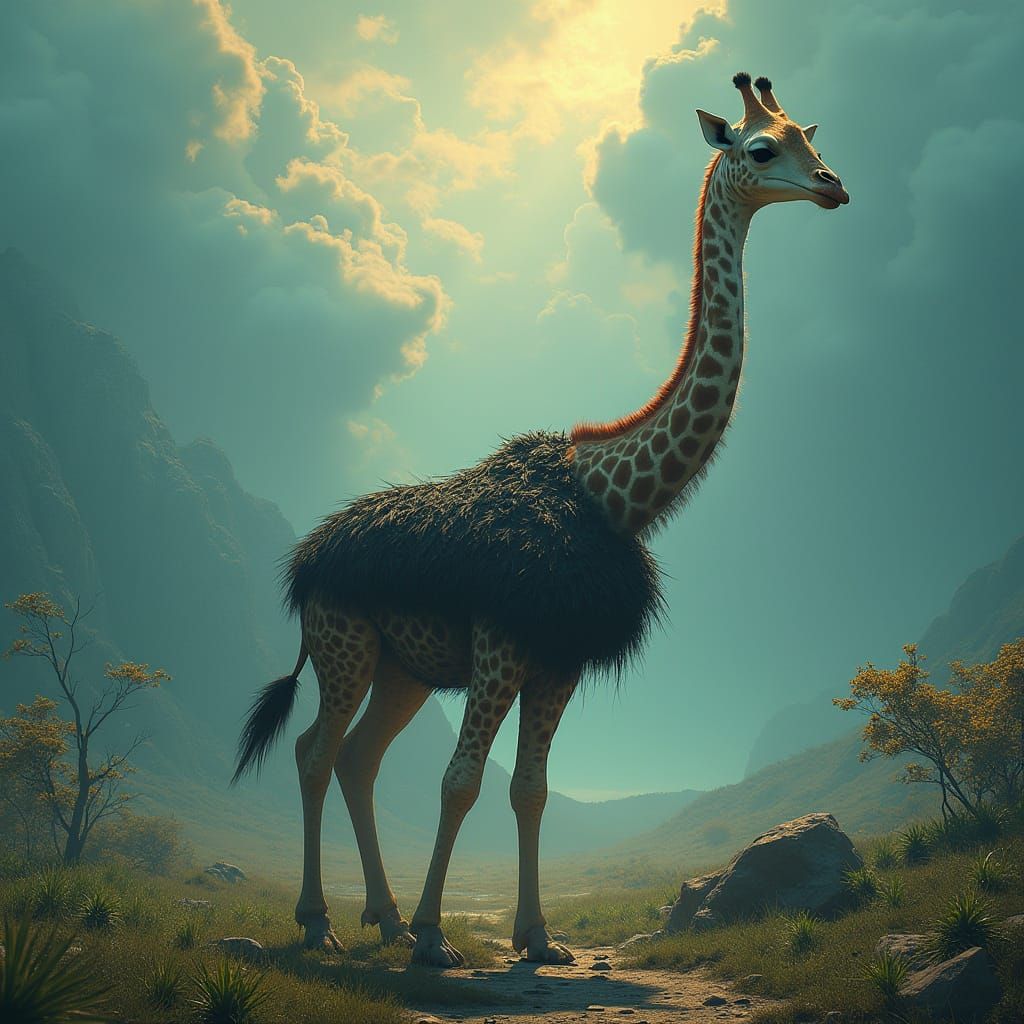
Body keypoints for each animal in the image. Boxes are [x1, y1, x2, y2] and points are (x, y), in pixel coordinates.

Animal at [232, 72, 848, 969]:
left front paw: (537, 938)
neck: (613, 498)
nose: (834, 186)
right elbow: (461, 782)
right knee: (316, 753)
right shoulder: (503, 645)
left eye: (811, 135)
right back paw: (323, 920)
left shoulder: (557, 662)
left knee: (357, 758)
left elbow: (531, 790)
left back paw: (379, 915)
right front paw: (436, 938)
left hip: (402, 666)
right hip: (344, 640)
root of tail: (307, 559)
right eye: (763, 148)